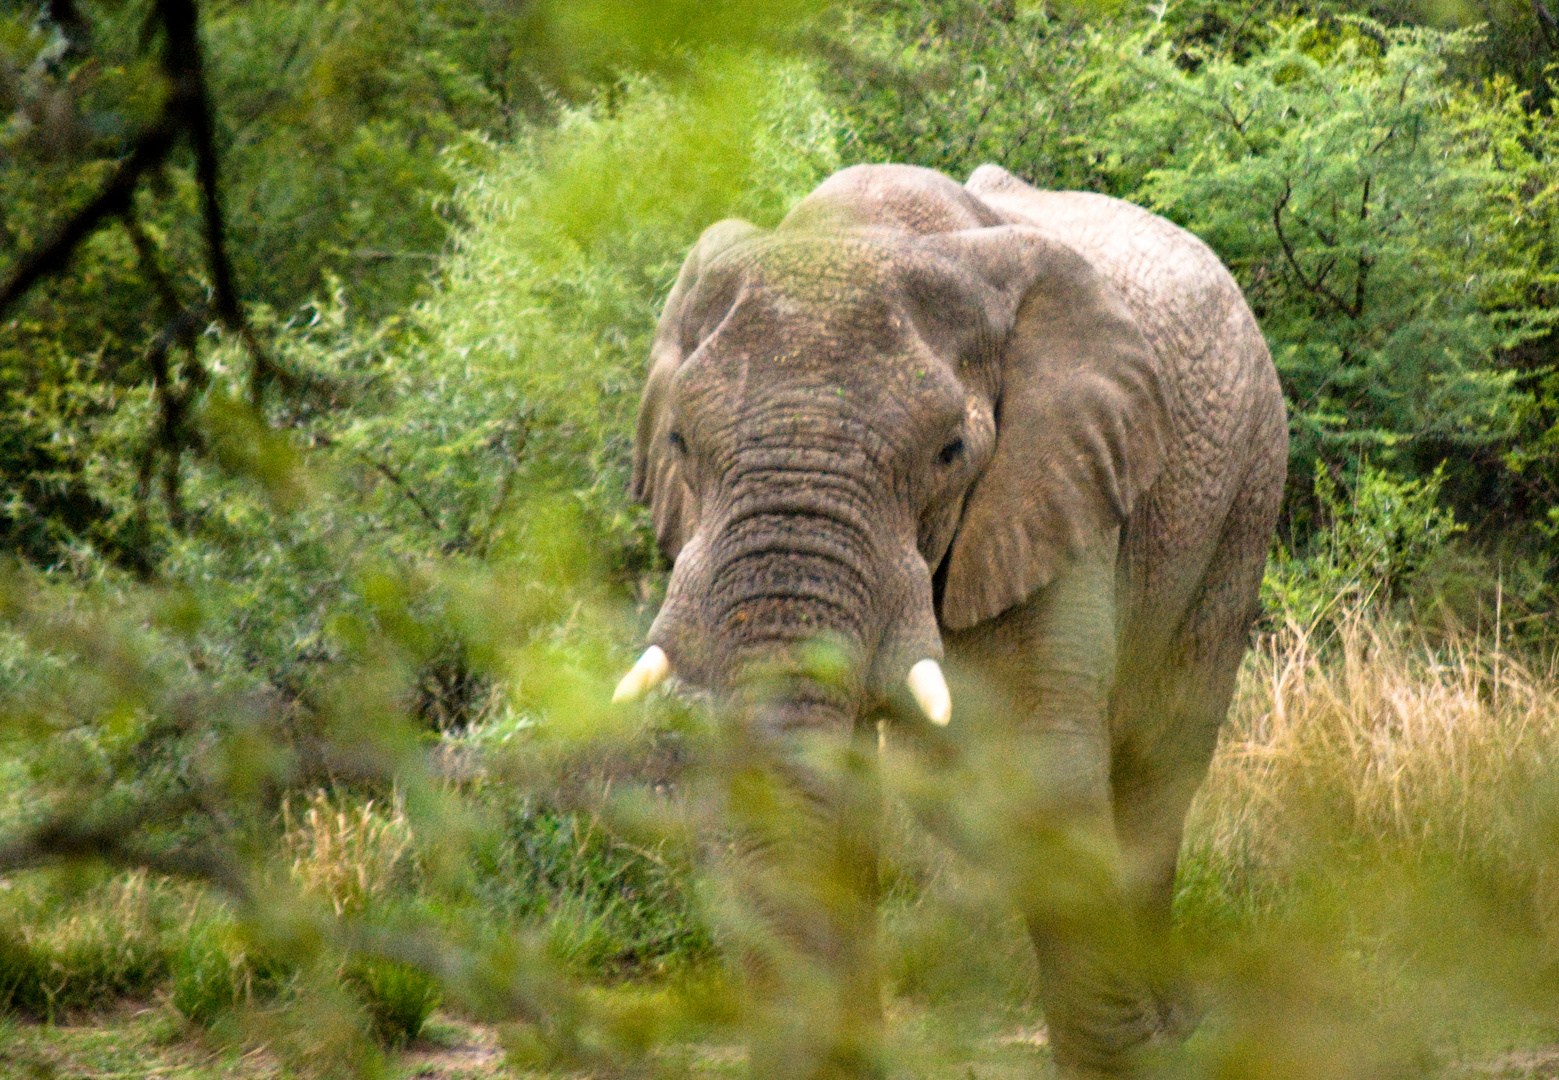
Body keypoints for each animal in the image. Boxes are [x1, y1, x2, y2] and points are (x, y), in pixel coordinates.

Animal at [614, 162, 1284, 1078]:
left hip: (1247, 491)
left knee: (1157, 759)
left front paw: (1126, 1057)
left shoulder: (1056, 480)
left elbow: (1042, 771)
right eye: (678, 442)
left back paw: (1175, 1026)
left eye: (949, 454)